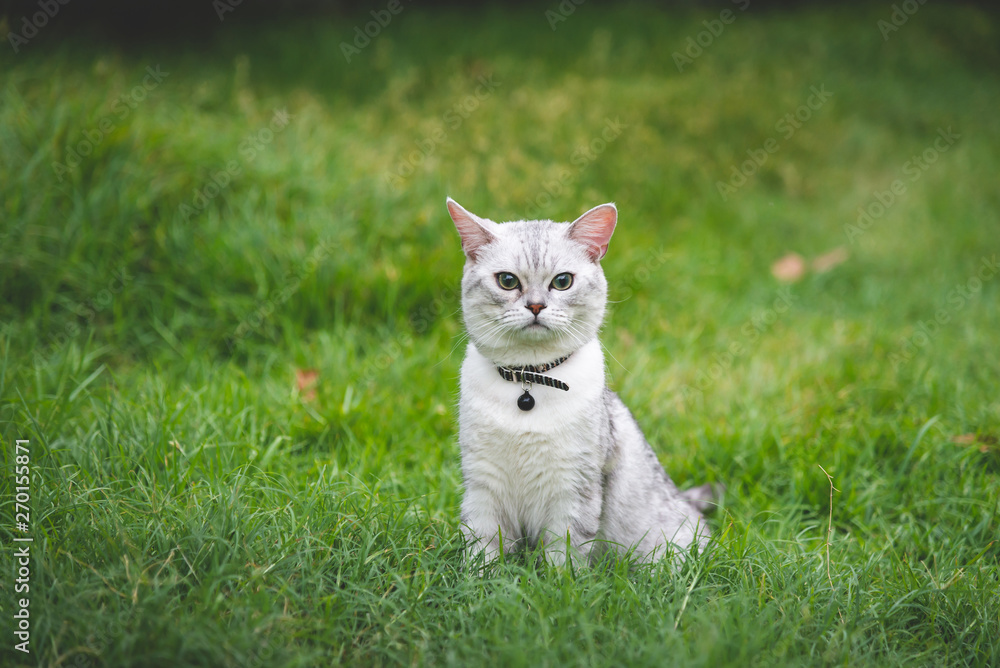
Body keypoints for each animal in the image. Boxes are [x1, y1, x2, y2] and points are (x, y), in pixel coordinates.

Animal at [448, 196, 720, 568]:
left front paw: (557, 581)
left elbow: (564, 557)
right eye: (507, 281)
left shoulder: (574, 489)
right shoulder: (483, 486)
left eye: (562, 281)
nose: (536, 306)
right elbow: (483, 550)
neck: (529, 383)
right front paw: (478, 579)